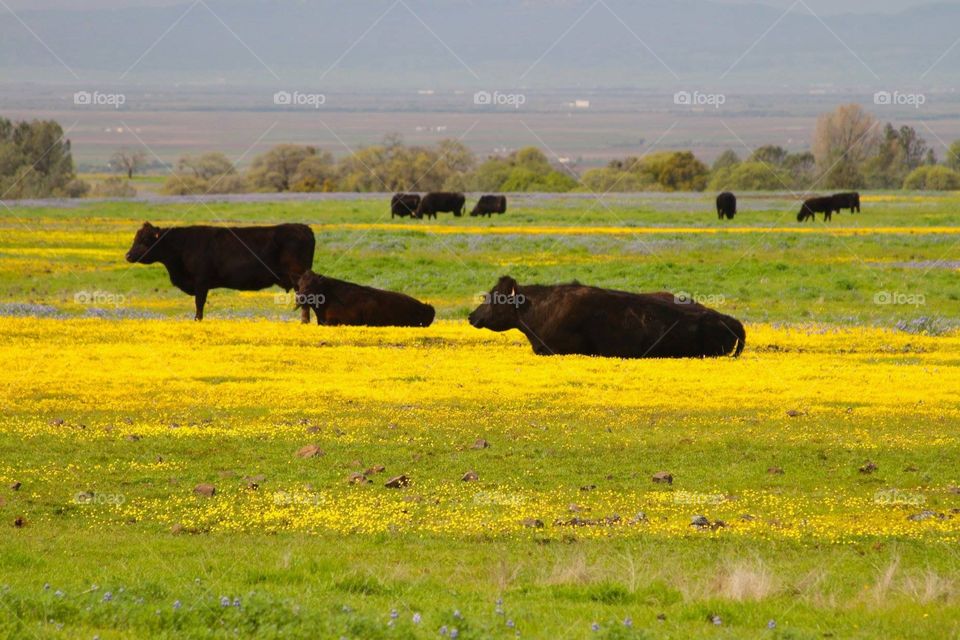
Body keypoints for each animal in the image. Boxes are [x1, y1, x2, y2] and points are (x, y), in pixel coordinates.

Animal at [124, 221, 316, 322]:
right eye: (135, 238)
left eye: (145, 240)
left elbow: (199, 304)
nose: (128, 255)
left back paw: (304, 322)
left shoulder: (201, 282)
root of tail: (303, 227)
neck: (182, 246)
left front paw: (197, 320)